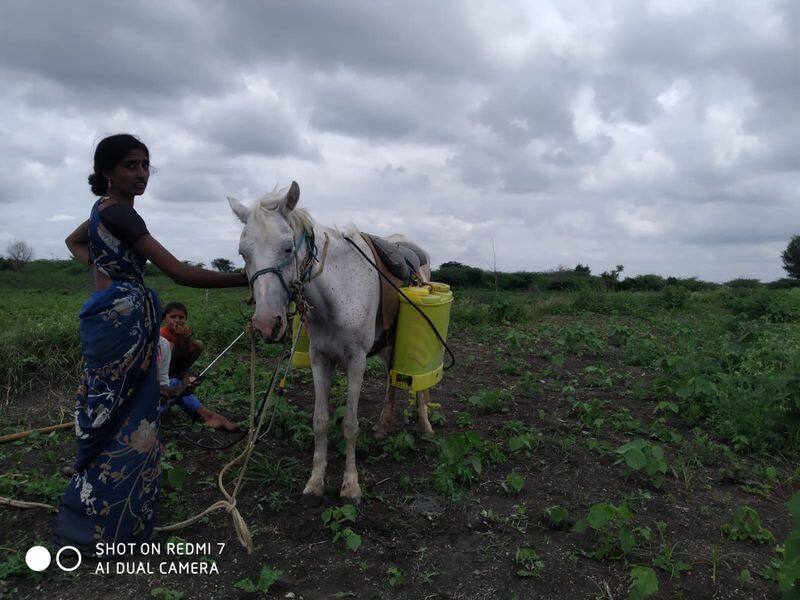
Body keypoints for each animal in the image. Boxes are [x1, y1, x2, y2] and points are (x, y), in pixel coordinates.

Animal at [228, 182, 432, 502]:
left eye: (287, 247)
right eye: (243, 253)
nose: (265, 324)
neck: (338, 293)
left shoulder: (356, 362)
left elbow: (349, 424)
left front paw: (350, 485)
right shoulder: (319, 358)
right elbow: (320, 421)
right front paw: (315, 482)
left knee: (420, 384)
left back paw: (425, 423)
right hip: (389, 344)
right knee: (392, 381)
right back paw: (384, 424)